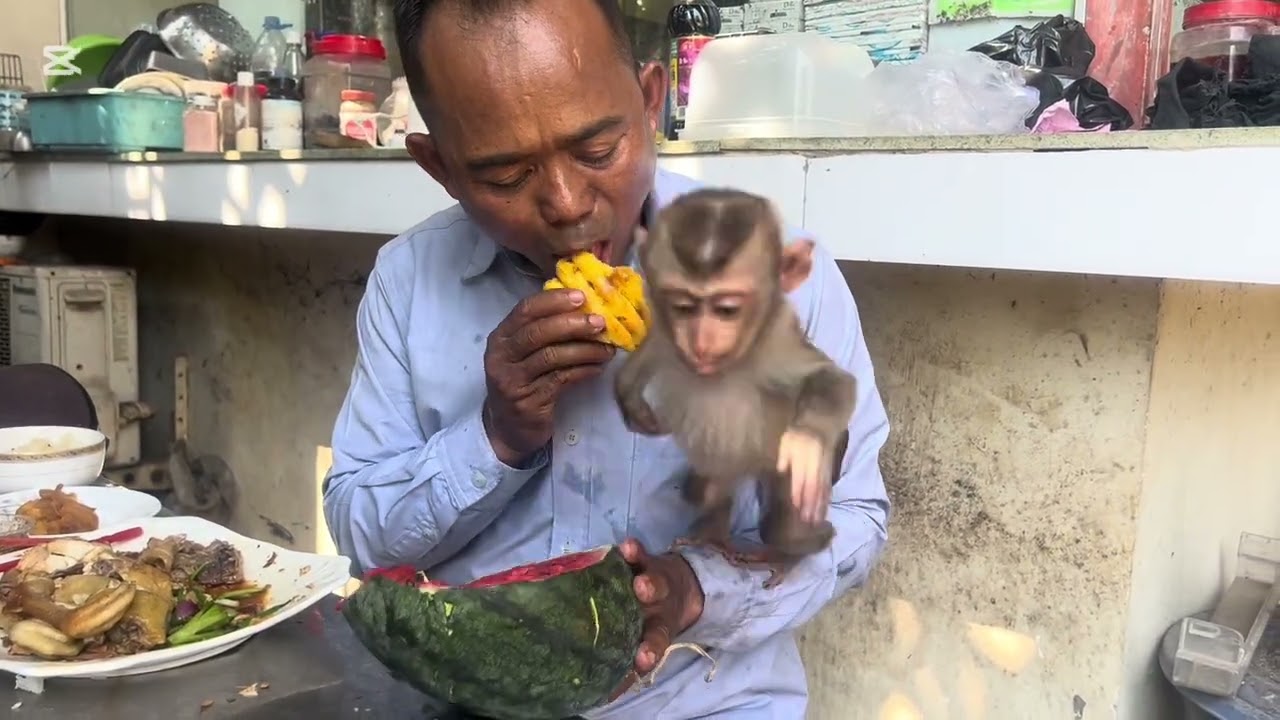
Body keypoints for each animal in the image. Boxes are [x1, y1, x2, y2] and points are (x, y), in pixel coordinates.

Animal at [614, 188, 856, 589]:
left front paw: (806, 442)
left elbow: (835, 381)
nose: (701, 341)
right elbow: (646, 356)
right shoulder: (666, 334)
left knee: (780, 528)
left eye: (727, 310)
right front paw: (630, 401)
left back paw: (800, 548)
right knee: (703, 489)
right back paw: (712, 531)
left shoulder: (776, 345)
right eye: (683, 307)